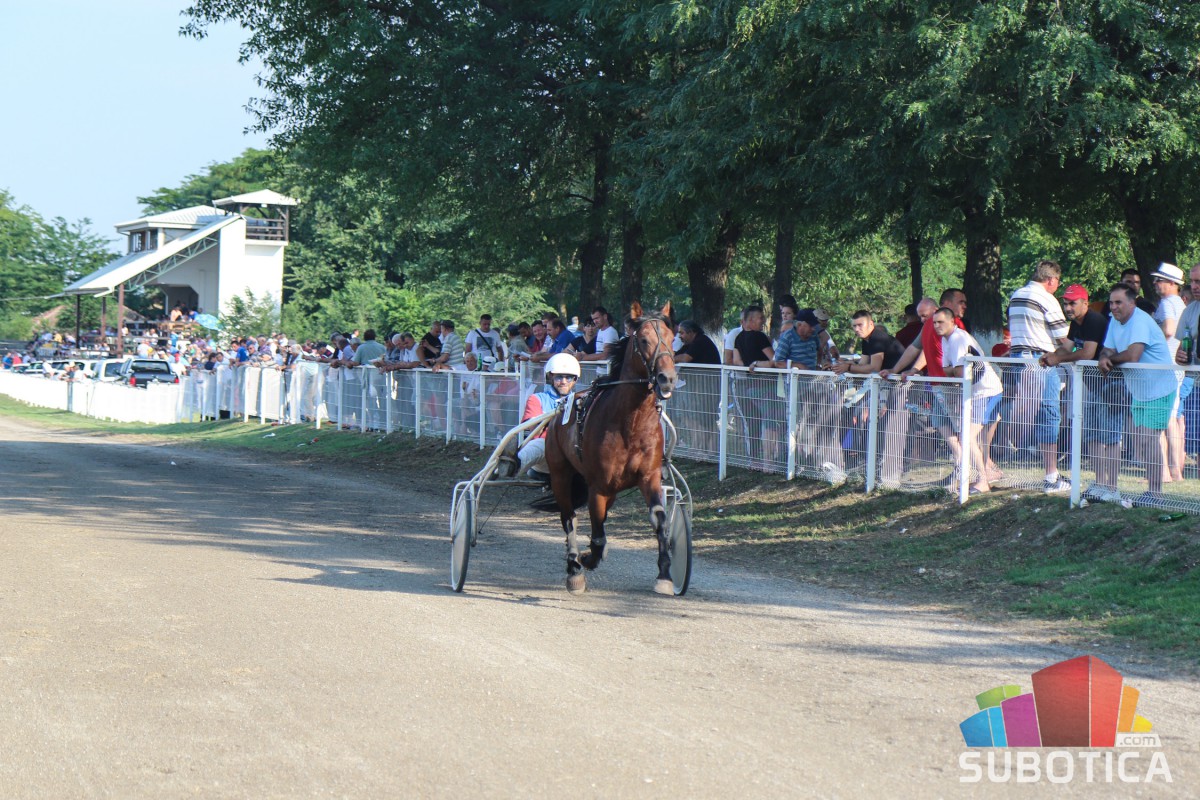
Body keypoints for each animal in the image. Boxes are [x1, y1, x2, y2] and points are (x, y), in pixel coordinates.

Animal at [545, 301, 679, 595]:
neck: (631, 422)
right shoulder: (598, 486)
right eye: (644, 340)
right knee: (568, 516)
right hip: (560, 474)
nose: (667, 378)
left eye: (671, 338)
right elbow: (597, 535)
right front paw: (586, 558)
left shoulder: (649, 477)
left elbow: (659, 519)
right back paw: (574, 567)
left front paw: (665, 574)